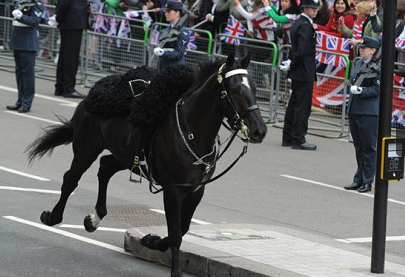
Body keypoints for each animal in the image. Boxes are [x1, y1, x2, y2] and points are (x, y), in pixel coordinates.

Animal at [26, 52, 266, 274]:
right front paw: (175, 270)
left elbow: (183, 227)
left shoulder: (197, 190)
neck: (192, 132)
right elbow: (176, 233)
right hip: (86, 149)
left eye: (254, 89)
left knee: (105, 168)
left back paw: (94, 218)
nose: (260, 131)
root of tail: (89, 96)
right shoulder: (172, 189)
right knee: (71, 179)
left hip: (125, 156)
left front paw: (151, 240)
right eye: (235, 90)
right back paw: (53, 216)